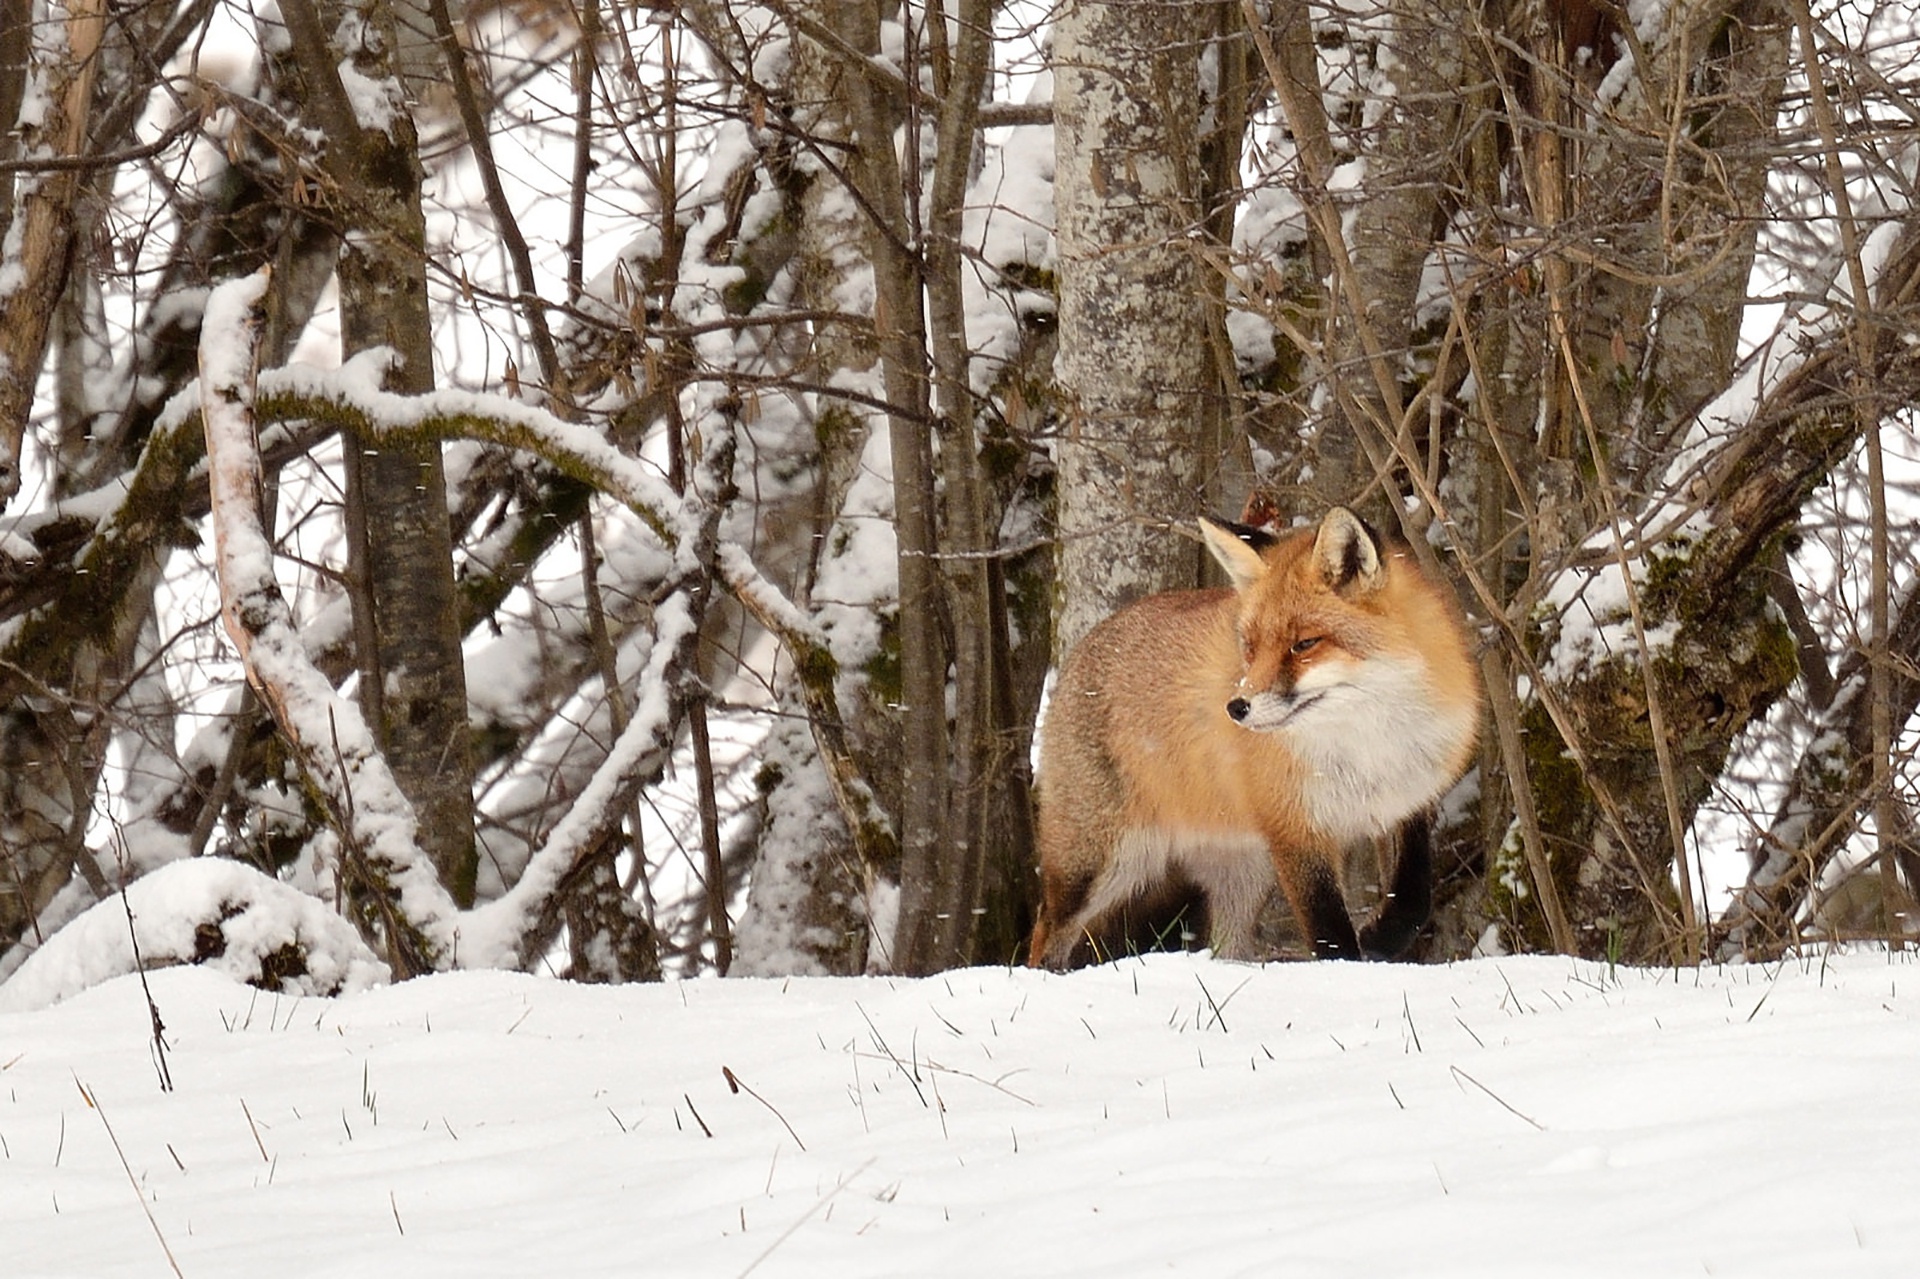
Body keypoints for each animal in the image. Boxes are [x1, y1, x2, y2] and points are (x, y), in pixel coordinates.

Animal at [1029, 503, 1474, 960]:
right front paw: (1346, 964)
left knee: (1227, 950)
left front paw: (1381, 938)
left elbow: (1415, 899)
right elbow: (1328, 928)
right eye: (1250, 646)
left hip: (1244, 879)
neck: (1366, 747)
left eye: (1305, 644)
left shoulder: (1406, 803)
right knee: (1046, 930)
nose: (1236, 708)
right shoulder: (1296, 830)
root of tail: (1078, 653)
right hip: (1102, 864)